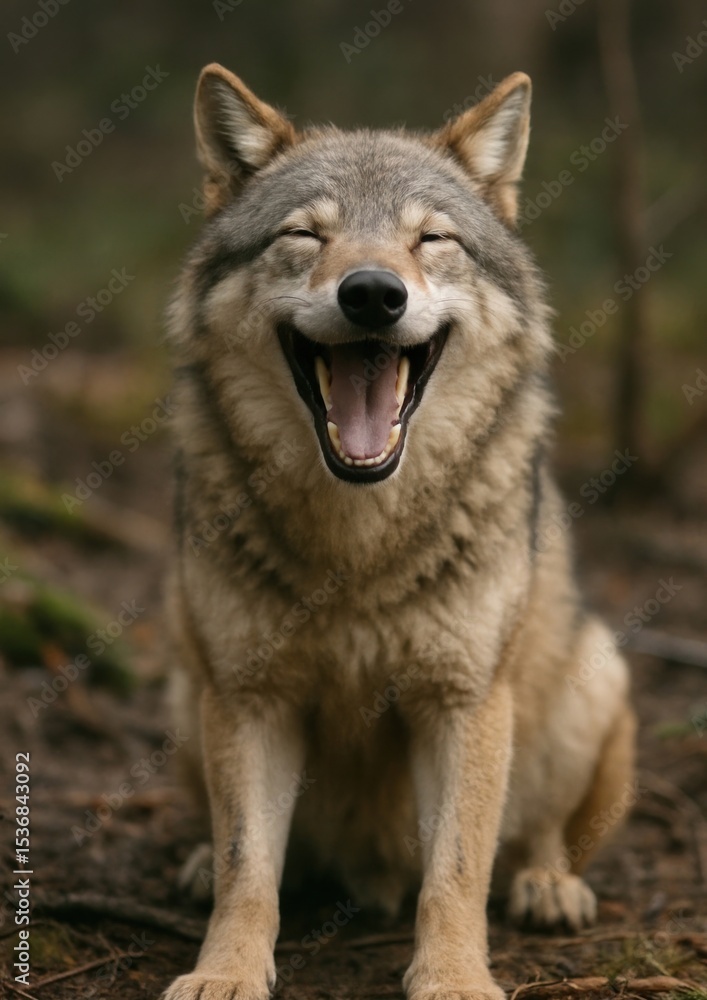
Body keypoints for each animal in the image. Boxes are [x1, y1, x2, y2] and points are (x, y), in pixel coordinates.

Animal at [162, 64, 635, 1000]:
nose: (373, 294)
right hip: (185, 688)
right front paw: (224, 971)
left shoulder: (462, 701)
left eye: (430, 240)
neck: (359, 546)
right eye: (305, 234)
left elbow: (455, 869)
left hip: (590, 677)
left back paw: (547, 885)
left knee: (538, 834)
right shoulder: (248, 697)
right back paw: (195, 865)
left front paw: (452, 979)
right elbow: (246, 866)